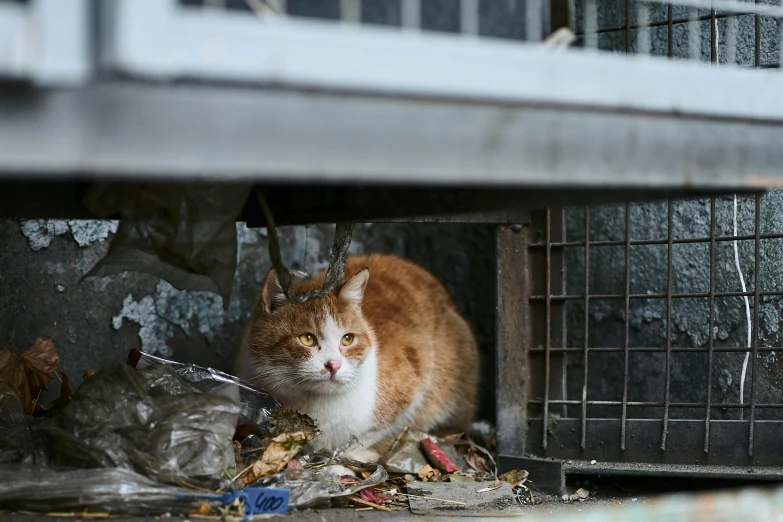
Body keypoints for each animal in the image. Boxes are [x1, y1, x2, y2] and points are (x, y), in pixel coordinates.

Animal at [234, 254, 478, 458]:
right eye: (307, 339)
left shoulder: (412, 381)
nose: (333, 365)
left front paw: (347, 459)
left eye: (347, 339)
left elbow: (369, 434)